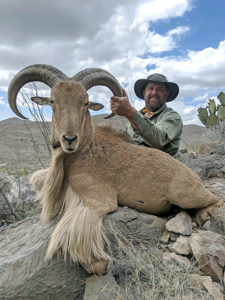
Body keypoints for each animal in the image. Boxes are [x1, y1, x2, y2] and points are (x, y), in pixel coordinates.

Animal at [7, 64, 223, 276]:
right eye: (53, 101)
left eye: (85, 102)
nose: (69, 139)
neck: (83, 151)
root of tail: (194, 177)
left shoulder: (98, 201)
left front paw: (97, 264)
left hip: (185, 195)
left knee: (215, 199)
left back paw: (203, 216)